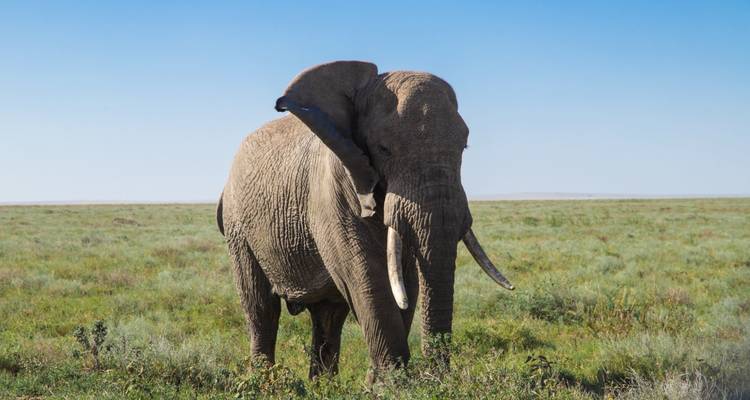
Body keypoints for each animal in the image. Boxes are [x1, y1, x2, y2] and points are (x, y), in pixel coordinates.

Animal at [217, 61, 513, 380]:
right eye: (383, 149)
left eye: (464, 147)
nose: (437, 376)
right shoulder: (332, 190)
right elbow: (369, 280)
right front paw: (393, 384)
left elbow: (405, 281)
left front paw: (379, 382)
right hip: (238, 228)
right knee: (261, 309)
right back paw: (265, 381)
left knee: (328, 315)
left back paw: (322, 385)